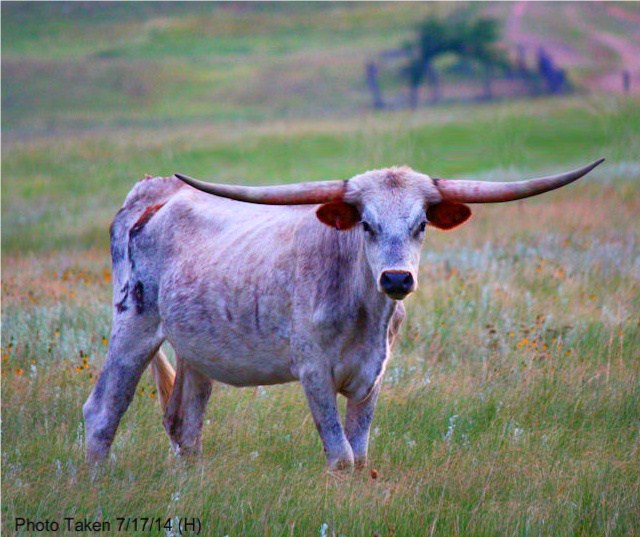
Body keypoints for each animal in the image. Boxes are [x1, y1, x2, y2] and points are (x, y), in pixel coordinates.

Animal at [83, 158, 604, 470]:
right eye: (366, 225)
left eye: (421, 225)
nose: (397, 279)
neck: (363, 311)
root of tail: (152, 190)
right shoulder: (312, 371)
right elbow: (340, 455)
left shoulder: (373, 375)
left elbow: (360, 451)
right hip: (134, 322)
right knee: (104, 408)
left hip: (195, 350)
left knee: (185, 424)